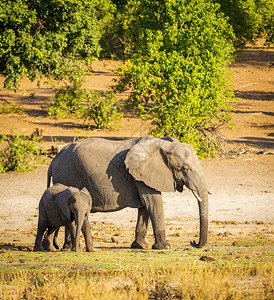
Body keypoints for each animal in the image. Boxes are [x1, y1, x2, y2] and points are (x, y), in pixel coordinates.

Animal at [48, 136, 209, 248]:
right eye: (185, 168)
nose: (193, 242)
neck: (163, 145)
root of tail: (54, 160)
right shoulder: (139, 174)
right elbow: (153, 202)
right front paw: (166, 247)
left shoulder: (142, 175)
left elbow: (145, 205)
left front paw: (141, 246)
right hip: (68, 175)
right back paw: (69, 247)